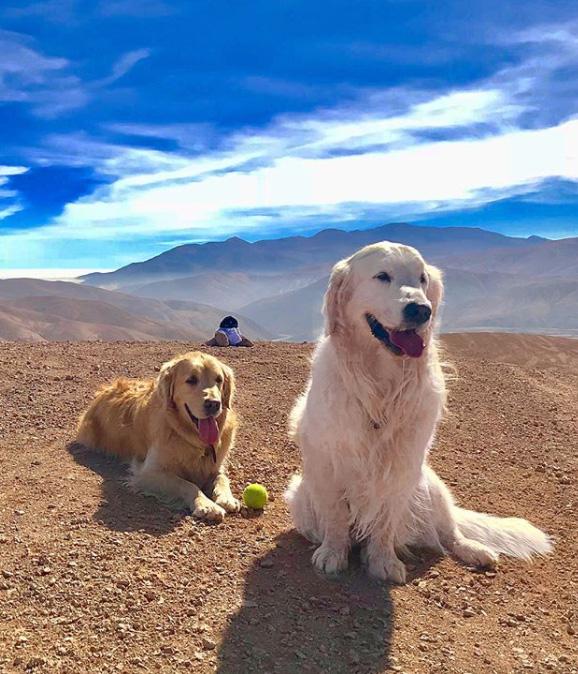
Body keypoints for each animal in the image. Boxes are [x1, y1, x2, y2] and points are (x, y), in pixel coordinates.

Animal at [76, 350, 238, 524]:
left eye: (219, 380)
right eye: (191, 380)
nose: (214, 404)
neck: (191, 439)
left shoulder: (215, 466)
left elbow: (222, 478)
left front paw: (227, 498)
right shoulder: (148, 473)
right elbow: (186, 484)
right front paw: (206, 505)